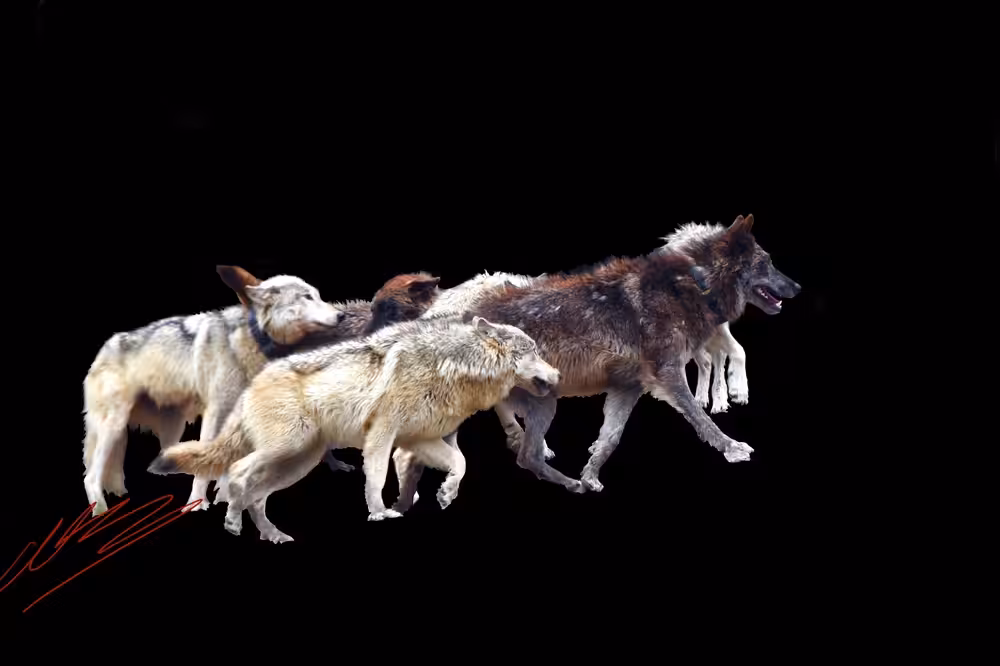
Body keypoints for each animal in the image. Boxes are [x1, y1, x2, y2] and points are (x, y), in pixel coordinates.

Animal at [81, 265, 440, 516]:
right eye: (306, 297)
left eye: (316, 295)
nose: (346, 324)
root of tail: (104, 348)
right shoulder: (217, 413)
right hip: (115, 426)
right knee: (92, 474)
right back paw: (102, 511)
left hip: (172, 424)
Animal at [147, 316, 560, 541]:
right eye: (534, 351)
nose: (557, 376)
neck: (452, 366)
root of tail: (252, 383)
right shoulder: (382, 435)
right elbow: (376, 478)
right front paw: (379, 513)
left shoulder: (421, 440)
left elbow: (460, 464)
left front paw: (446, 494)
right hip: (284, 450)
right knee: (235, 473)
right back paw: (232, 520)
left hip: (296, 463)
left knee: (257, 496)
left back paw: (273, 535)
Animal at [391, 214, 801, 503]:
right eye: (766, 263)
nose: (797, 286)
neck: (696, 281)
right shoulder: (668, 376)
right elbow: (701, 419)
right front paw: (732, 447)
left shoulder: (627, 388)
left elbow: (610, 438)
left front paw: (590, 475)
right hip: (536, 403)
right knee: (518, 455)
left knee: (520, 454)